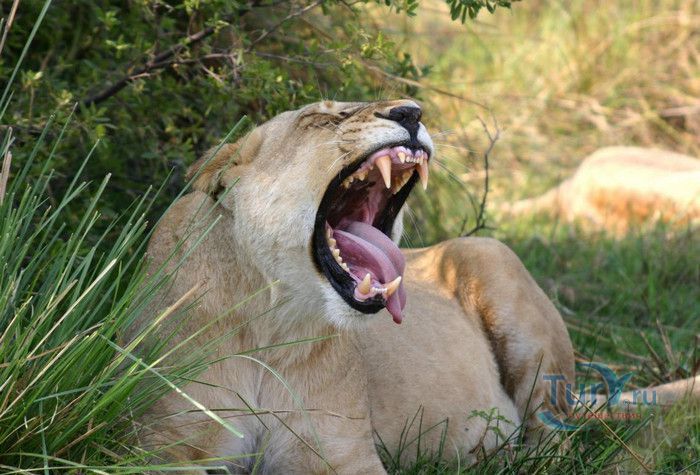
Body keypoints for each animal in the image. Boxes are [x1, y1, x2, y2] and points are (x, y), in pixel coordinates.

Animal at [127, 100, 576, 473]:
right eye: (322, 118)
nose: (412, 112)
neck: (273, 326)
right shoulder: (158, 447)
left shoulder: (343, 453)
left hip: (496, 268)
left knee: (555, 438)